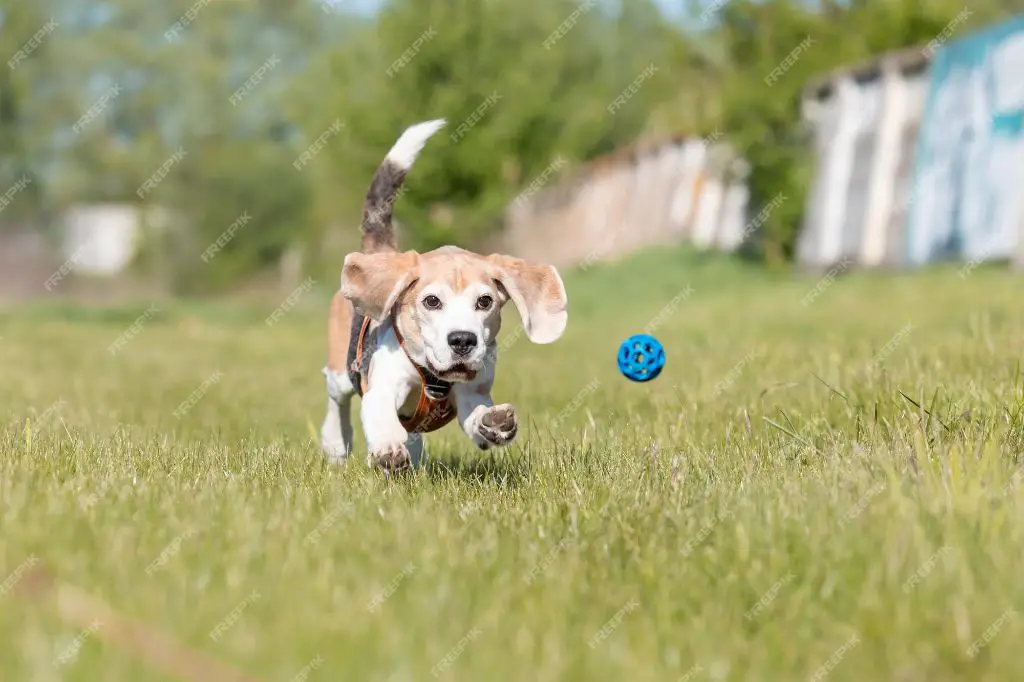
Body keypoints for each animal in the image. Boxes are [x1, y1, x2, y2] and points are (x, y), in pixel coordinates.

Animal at [321, 119, 569, 471]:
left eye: (485, 301)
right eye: (431, 301)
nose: (463, 340)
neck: (435, 377)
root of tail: (382, 251)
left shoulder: (472, 393)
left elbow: (476, 414)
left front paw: (493, 423)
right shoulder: (382, 386)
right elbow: (381, 414)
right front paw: (387, 447)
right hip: (341, 372)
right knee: (337, 401)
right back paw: (336, 444)